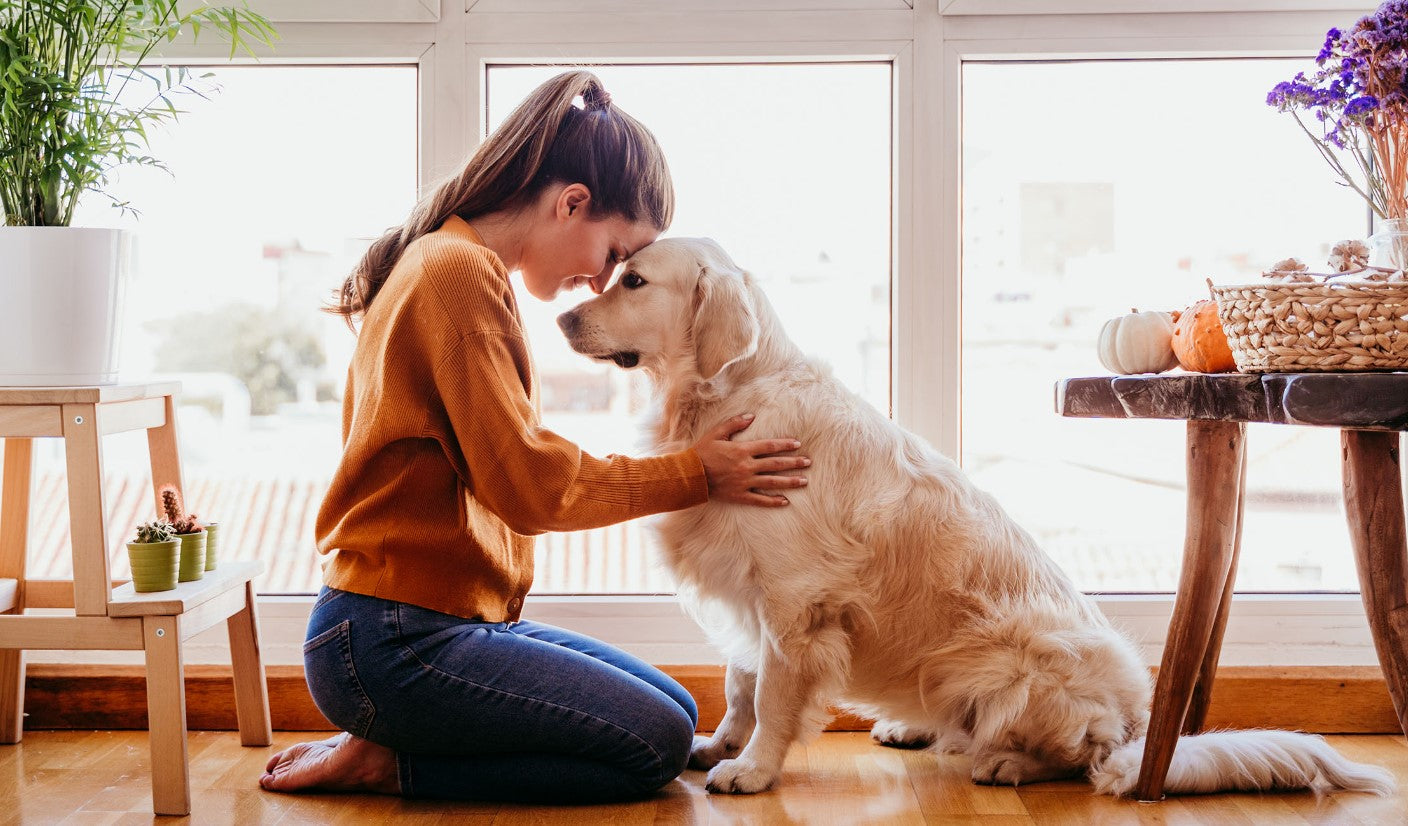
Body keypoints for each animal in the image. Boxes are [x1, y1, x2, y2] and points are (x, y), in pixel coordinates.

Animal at [554, 236, 1391, 799]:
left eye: (633, 280)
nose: (560, 320)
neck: (726, 397)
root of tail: (1136, 725)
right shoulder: (748, 589)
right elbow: (739, 681)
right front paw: (718, 744)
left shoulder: (794, 601)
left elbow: (774, 695)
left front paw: (752, 768)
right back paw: (915, 726)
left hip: (1011, 663)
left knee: (1077, 757)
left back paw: (1004, 761)